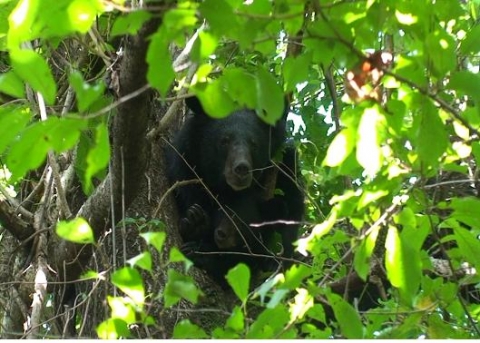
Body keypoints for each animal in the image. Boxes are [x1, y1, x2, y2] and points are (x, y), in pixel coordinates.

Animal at [163, 95, 302, 284]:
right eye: (224, 140)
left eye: (254, 143)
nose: (241, 169)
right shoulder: (185, 164)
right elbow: (188, 195)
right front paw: (196, 224)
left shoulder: (284, 166)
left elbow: (292, 210)